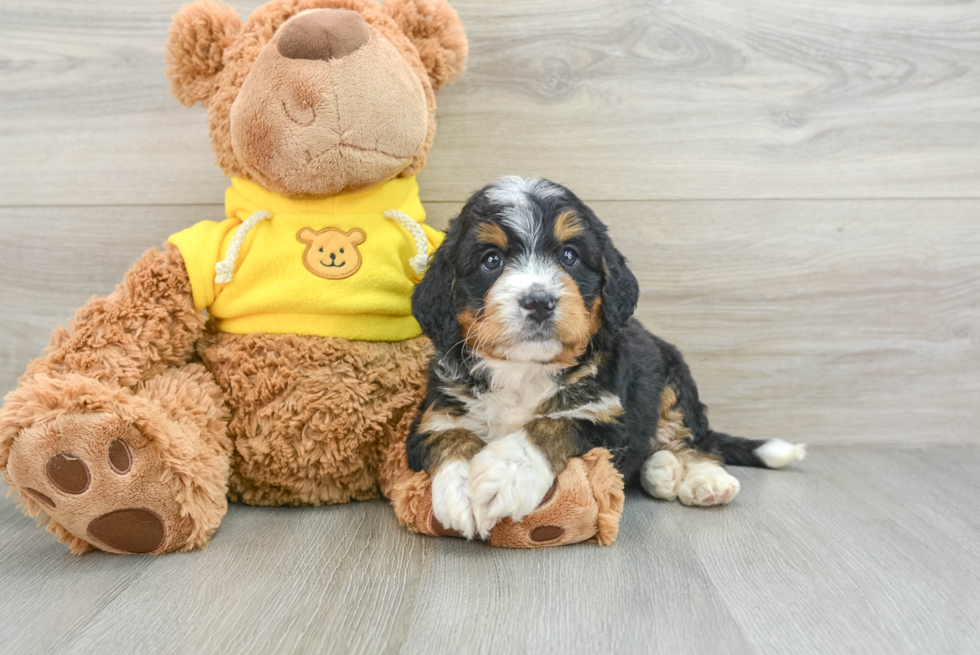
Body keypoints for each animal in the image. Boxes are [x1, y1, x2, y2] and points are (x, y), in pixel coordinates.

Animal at [406, 177, 804, 540]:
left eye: (569, 256)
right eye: (491, 260)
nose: (539, 301)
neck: (524, 368)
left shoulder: (608, 420)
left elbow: (557, 424)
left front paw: (505, 475)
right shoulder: (433, 415)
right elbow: (448, 435)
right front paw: (458, 492)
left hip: (673, 381)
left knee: (694, 440)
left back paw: (705, 479)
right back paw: (663, 471)